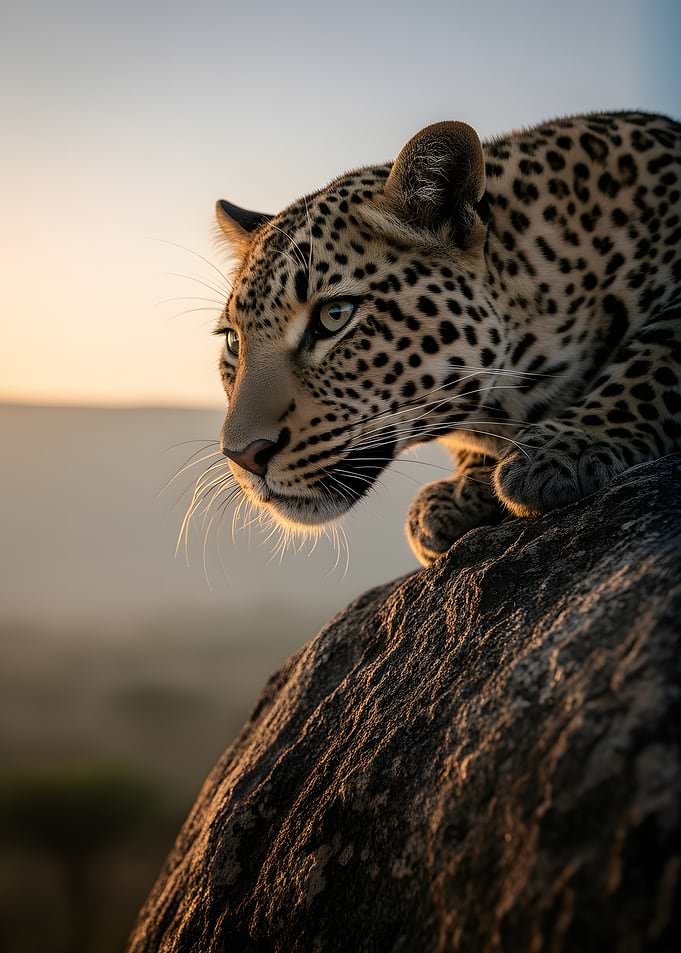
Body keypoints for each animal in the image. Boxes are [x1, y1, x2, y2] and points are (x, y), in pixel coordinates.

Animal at [212, 111, 681, 566]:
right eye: (234, 342)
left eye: (334, 316)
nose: (243, 457)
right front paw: (459, 491)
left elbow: (655, 358)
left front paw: (569, 446)